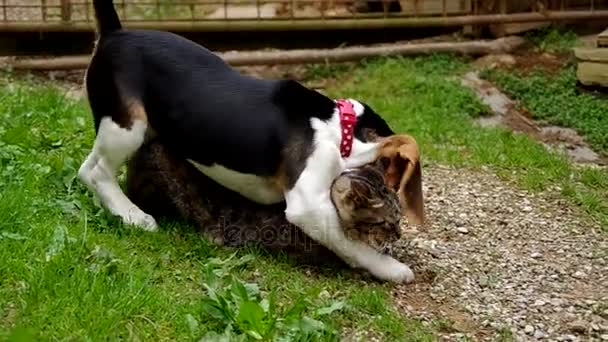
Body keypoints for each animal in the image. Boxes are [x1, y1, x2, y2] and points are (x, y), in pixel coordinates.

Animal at [79, 0, 422, 284]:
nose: (396, 227)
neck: (339, 129)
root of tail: (116, 33)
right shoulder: (308, 205)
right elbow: (349, 242)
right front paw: (391, 268)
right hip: (128, 125)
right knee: (98, 172)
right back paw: (132, 215)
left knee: (87, 169)